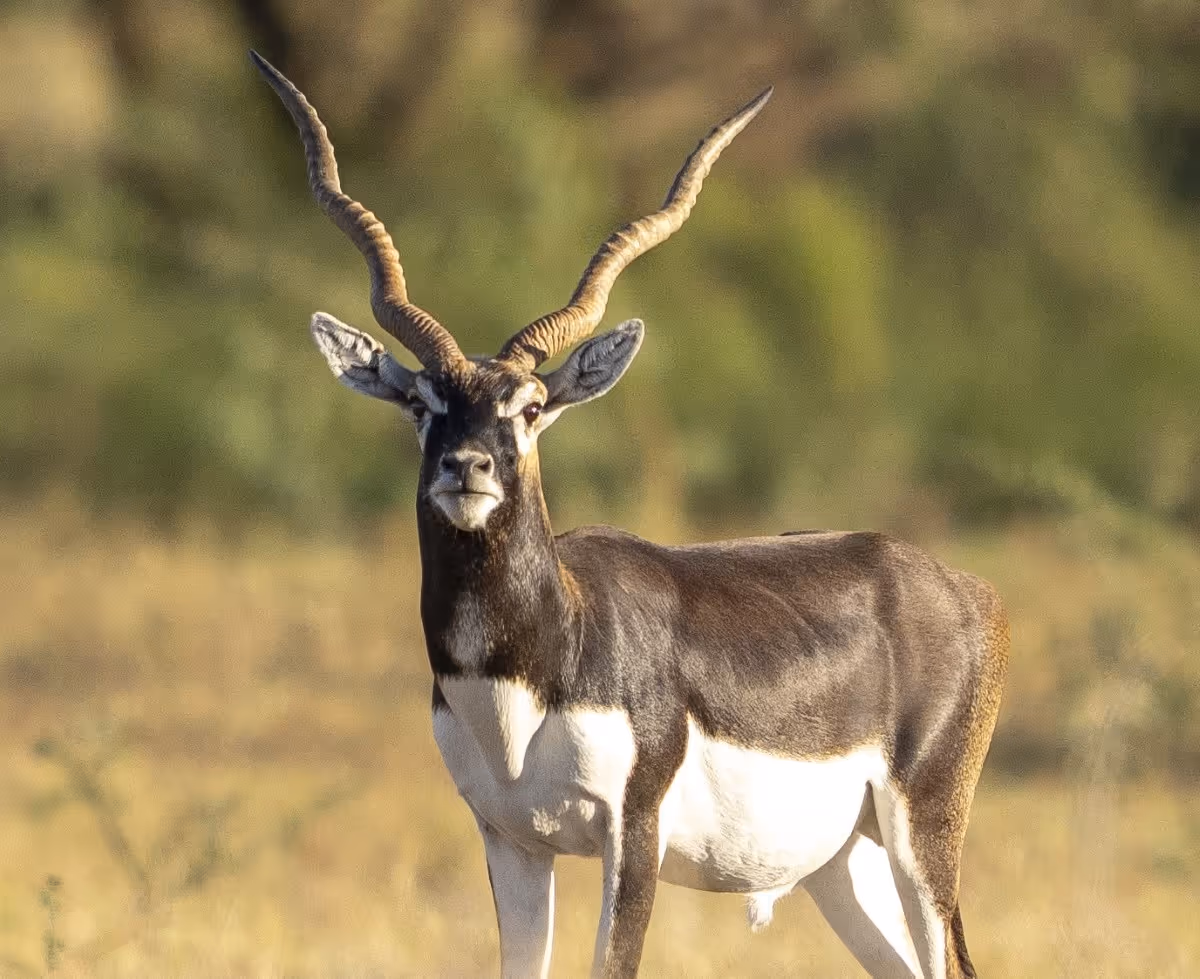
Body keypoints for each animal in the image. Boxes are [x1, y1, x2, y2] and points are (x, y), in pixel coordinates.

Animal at [252, 51, 1008, 979]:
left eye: (531, 406)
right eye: (423, 403)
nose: (468, 468)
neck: (536, 660)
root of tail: (967, 590)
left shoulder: (632, 834)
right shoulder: (509, 839)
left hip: (920, 832)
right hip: (841, 864)